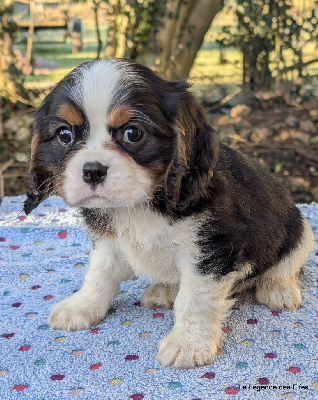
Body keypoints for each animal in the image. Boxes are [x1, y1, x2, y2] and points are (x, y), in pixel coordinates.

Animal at [23, 58, 316, 368]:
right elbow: (99, 274)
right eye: (64, 134)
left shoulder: (209, 250)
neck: (141, 204)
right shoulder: (109, 240)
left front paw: (188, 343)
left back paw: (277, 288)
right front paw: (82, 305)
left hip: (299, 230)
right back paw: (164, 288)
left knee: (287, 265)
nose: (92, 170)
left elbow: (194, 298)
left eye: (133, 133)